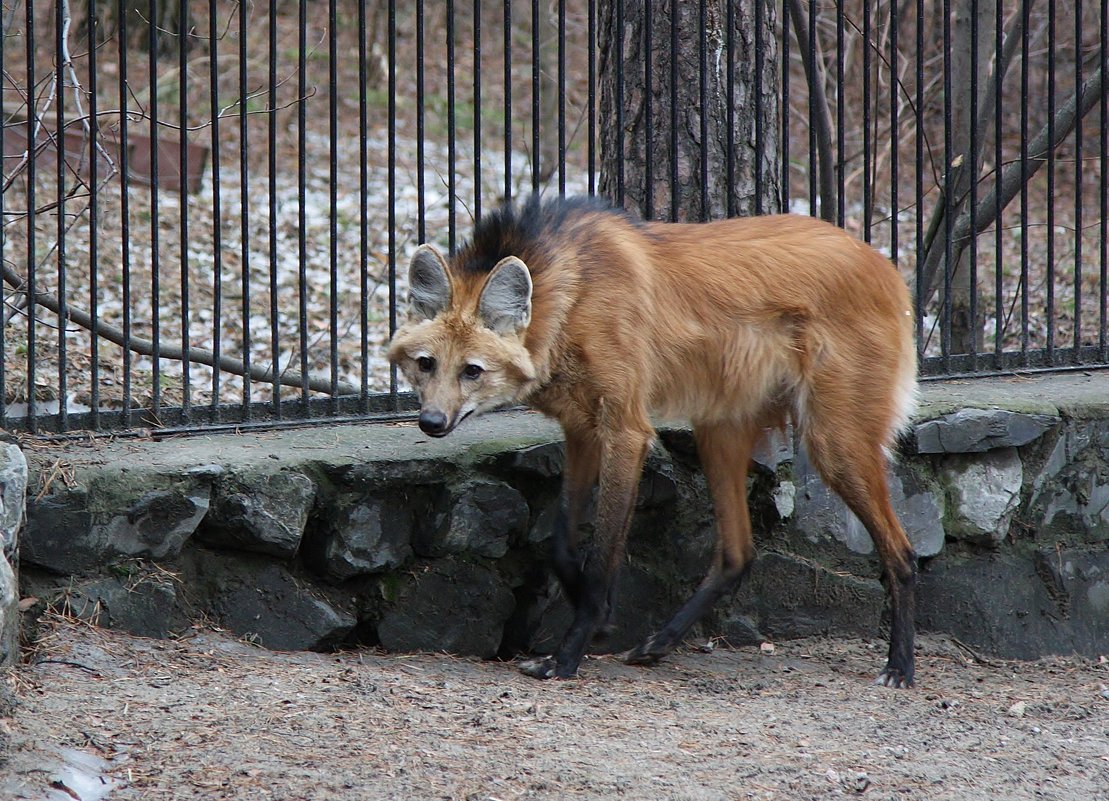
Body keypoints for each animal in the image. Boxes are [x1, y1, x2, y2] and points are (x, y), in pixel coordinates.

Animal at [388, 193, 918, 687]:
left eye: (472, 371)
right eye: (426, 364)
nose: (431, 422)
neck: (568, 298)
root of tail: (884, 265)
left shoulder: (625, 431)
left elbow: (602, 555)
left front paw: (567, 655)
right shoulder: (582, 430)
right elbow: (562, 542)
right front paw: (599, 619)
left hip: (832, 443)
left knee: (902, 551)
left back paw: (899, 667)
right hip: (718, 429)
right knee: (738, 553)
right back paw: (657, 643)